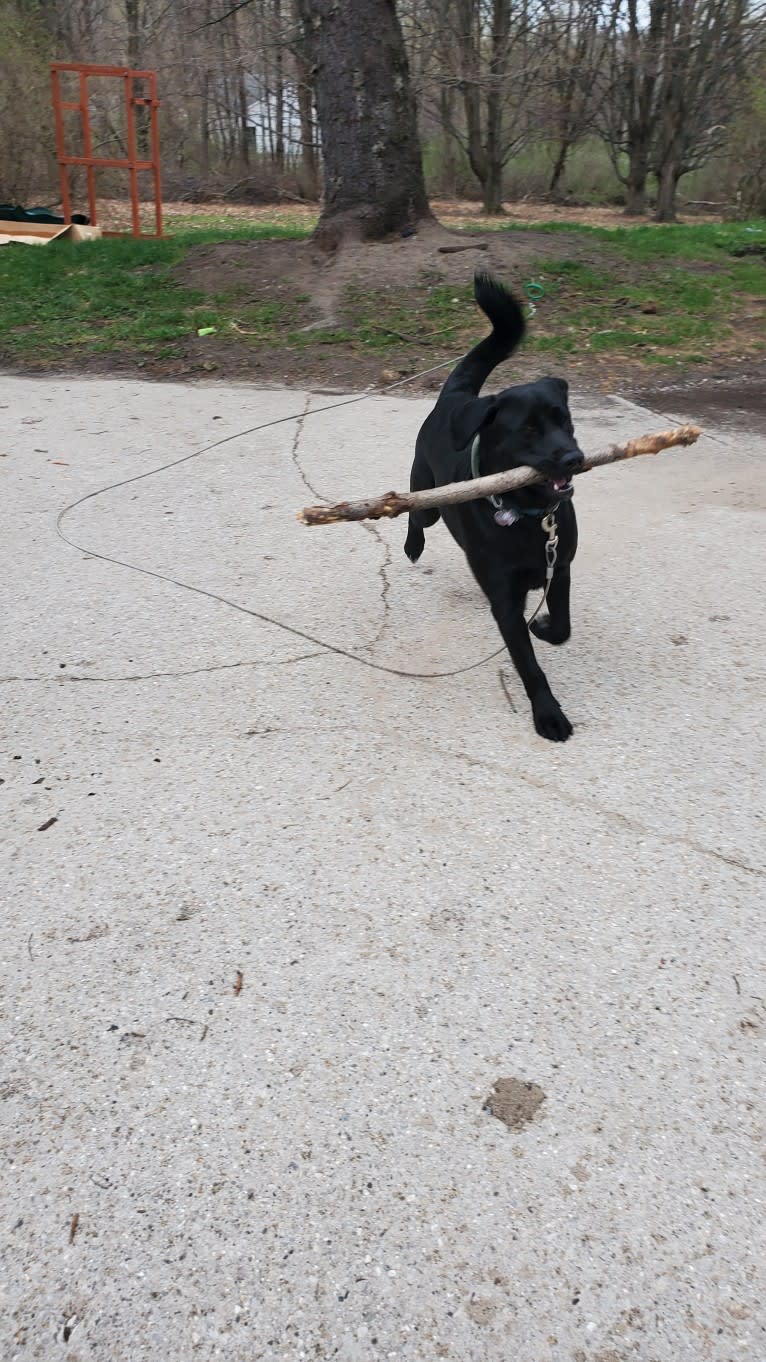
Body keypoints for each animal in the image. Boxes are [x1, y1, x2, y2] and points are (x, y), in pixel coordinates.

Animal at [403, 273, 580, 746]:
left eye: (565, 420)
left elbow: (563, 626)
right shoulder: (504, 602)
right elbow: (529, 666)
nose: (575, 457)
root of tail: (458, 396)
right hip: (427, 496)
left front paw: (545, 628)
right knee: (414, 512)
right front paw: (548, 714)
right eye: (529, 430)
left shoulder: (560, 568)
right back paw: (412, 546)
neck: (528, 516)